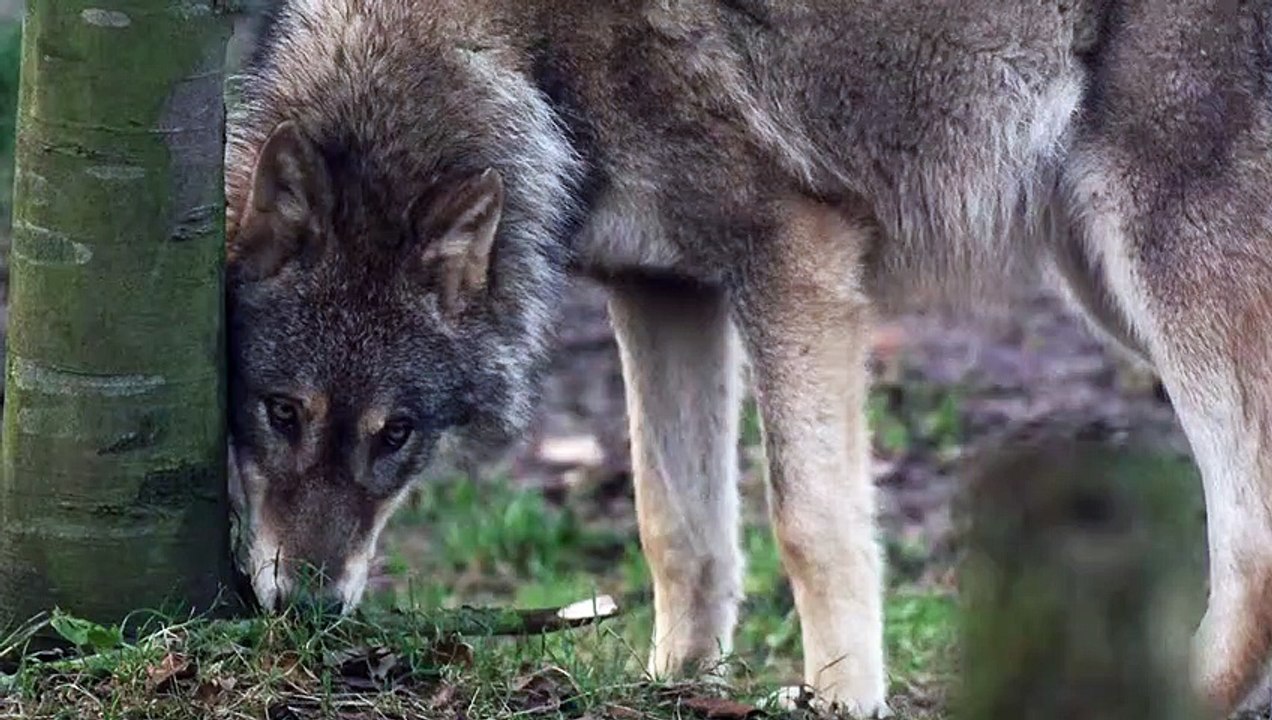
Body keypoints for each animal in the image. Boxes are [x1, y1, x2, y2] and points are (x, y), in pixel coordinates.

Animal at [223, 1, 1272, 717]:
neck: (527, 57)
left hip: (1159, 266)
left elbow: (812, 527)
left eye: (395, 433)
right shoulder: (660, 289)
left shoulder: (794, 261)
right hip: (1105, 285)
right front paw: (678, 686)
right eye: (280, 411)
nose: (303, 609)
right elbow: (677, 531)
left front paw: (842, 703)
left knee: (1249, 540)